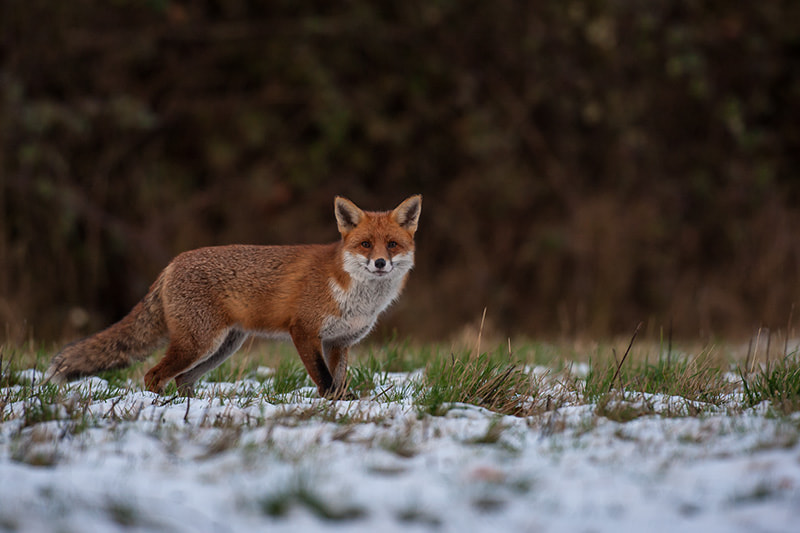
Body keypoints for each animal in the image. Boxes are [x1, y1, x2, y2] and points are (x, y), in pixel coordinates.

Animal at [44, 194, 422, 394]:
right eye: (365, 244)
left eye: (391, 244)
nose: (380, 263)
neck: (357, 296)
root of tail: (171, 263)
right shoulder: (304, 332)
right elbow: (325, 381)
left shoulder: (339, 343)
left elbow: (338, 382)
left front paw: (343, 407)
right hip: (198, 343)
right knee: (153, 375)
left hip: (223, 347)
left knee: (182, 379)